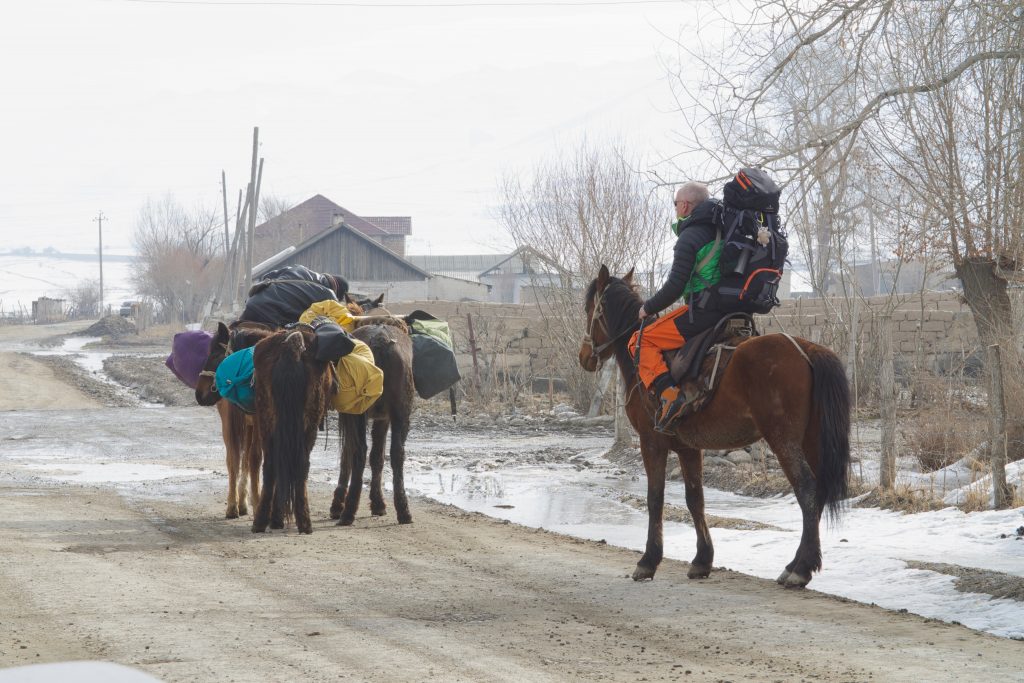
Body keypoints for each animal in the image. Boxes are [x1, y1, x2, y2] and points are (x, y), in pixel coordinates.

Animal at [195, 320, 275, 518]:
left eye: (215, 354)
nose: (199, 394)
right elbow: (250, 458)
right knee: (236, 458)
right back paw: (236, 504)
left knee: (239, 458)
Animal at [250, 326, 336, 534]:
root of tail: (291, 345)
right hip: (309, 423)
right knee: (302, 464)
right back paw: (304, 521)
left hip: (266, 419)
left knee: (271, 464)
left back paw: (261, 521)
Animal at [579, 265, 851, 588]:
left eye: (589, 308)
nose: (584, 356)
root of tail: (806, 349)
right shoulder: (687, 448)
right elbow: (695, 499)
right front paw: (702, 560)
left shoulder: (651, 442)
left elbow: (655, 498)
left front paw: (648, 561)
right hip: (810, 440)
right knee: (816, 494)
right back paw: (796, 563)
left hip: (784, 441)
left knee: (807, 490)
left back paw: (801, 569)